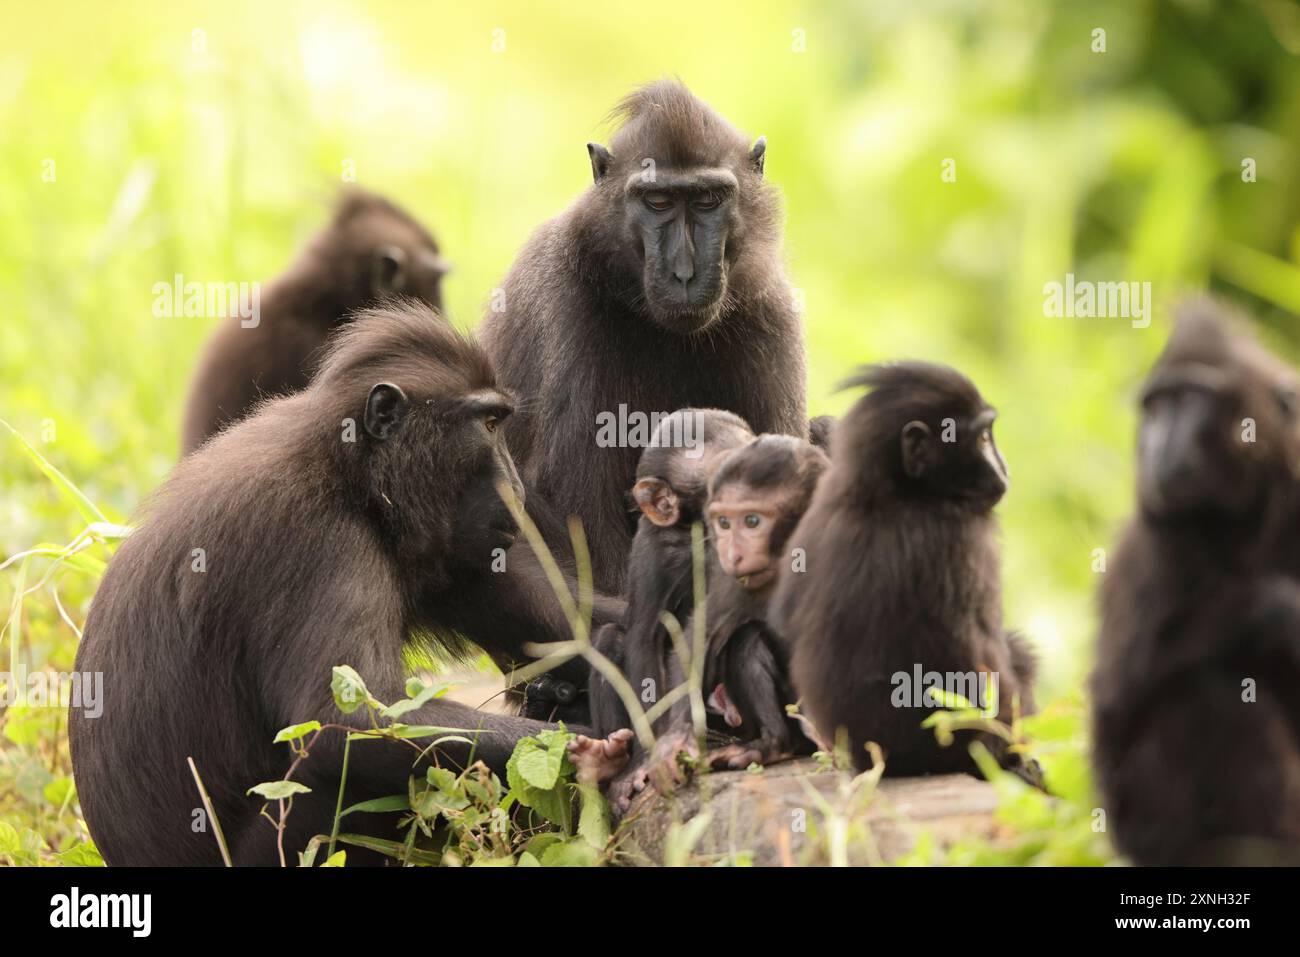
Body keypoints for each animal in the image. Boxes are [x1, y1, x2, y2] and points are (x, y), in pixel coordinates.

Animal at [70, 303, 631, 866]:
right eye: (489, 423)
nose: (515, 488)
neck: (350, 471)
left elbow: (575, 627)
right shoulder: (319, 541)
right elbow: (345, 728)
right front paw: (590, 744)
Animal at [1091, 299, 1300, 865]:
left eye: (1187, 400)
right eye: (1154, 408)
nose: (1152, 442)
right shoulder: (1155, 544)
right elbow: (1118, 698)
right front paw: (1280, 610)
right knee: (1210, 697)